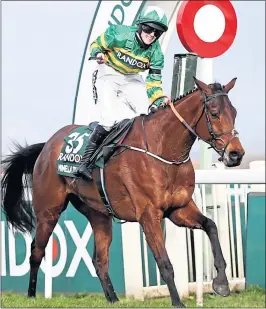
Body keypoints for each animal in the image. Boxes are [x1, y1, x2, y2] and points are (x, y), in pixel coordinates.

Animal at [0, 77, 245, 306]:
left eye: (234, 112)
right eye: (214, 113)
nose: (236, 154)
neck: (164, 151)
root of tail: (47, 146)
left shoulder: (179, 208)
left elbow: (211, 226)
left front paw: (221, 283)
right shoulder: (149, 215)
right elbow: (165, 263)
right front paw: (178, 303)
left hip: (98, 214)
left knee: (99, 260)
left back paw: (113, 299)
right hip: (48, 211)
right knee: (36, 251)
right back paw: (32, 296)